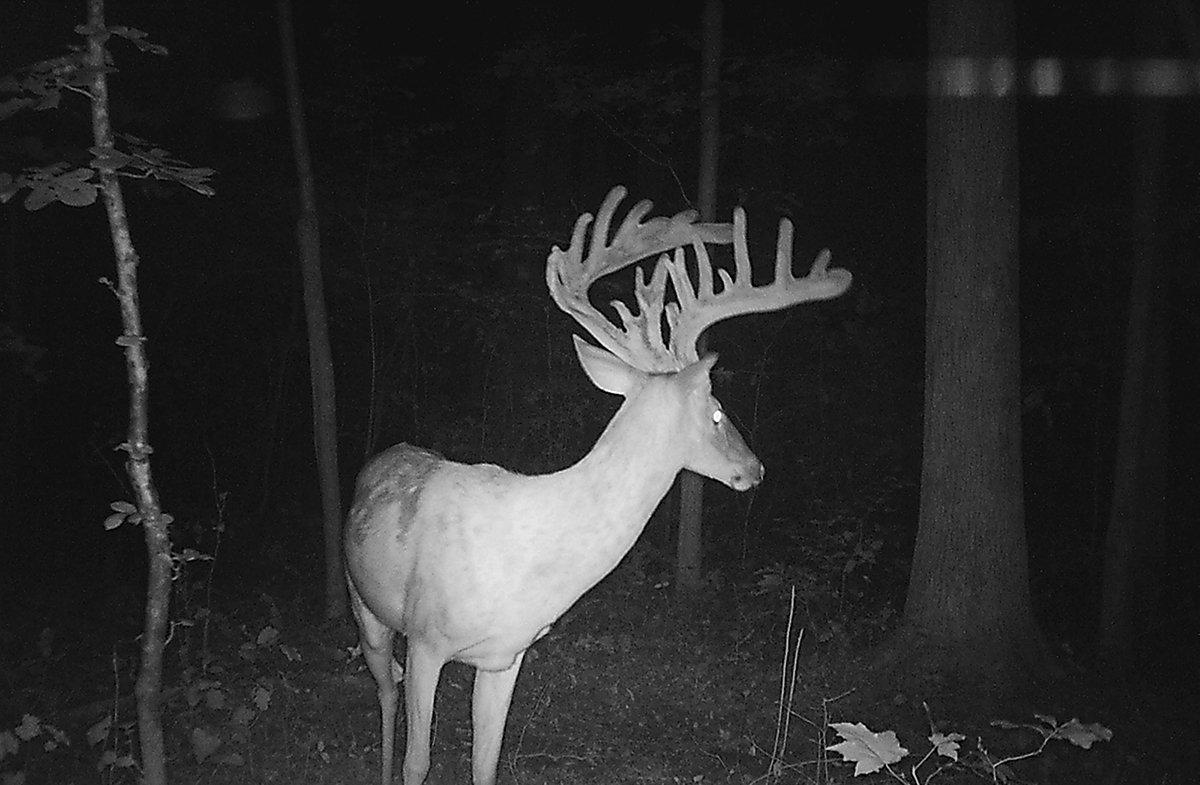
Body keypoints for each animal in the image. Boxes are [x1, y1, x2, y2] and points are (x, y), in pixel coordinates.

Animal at [343, 186, 852, 785]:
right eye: (717, 413)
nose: (756, 469)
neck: (530, 558)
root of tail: (386, 454)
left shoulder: (506, 655)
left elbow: (486, 763)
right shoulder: (427, 639)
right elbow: (418, 762)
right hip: (366, 606)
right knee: (386, 688)